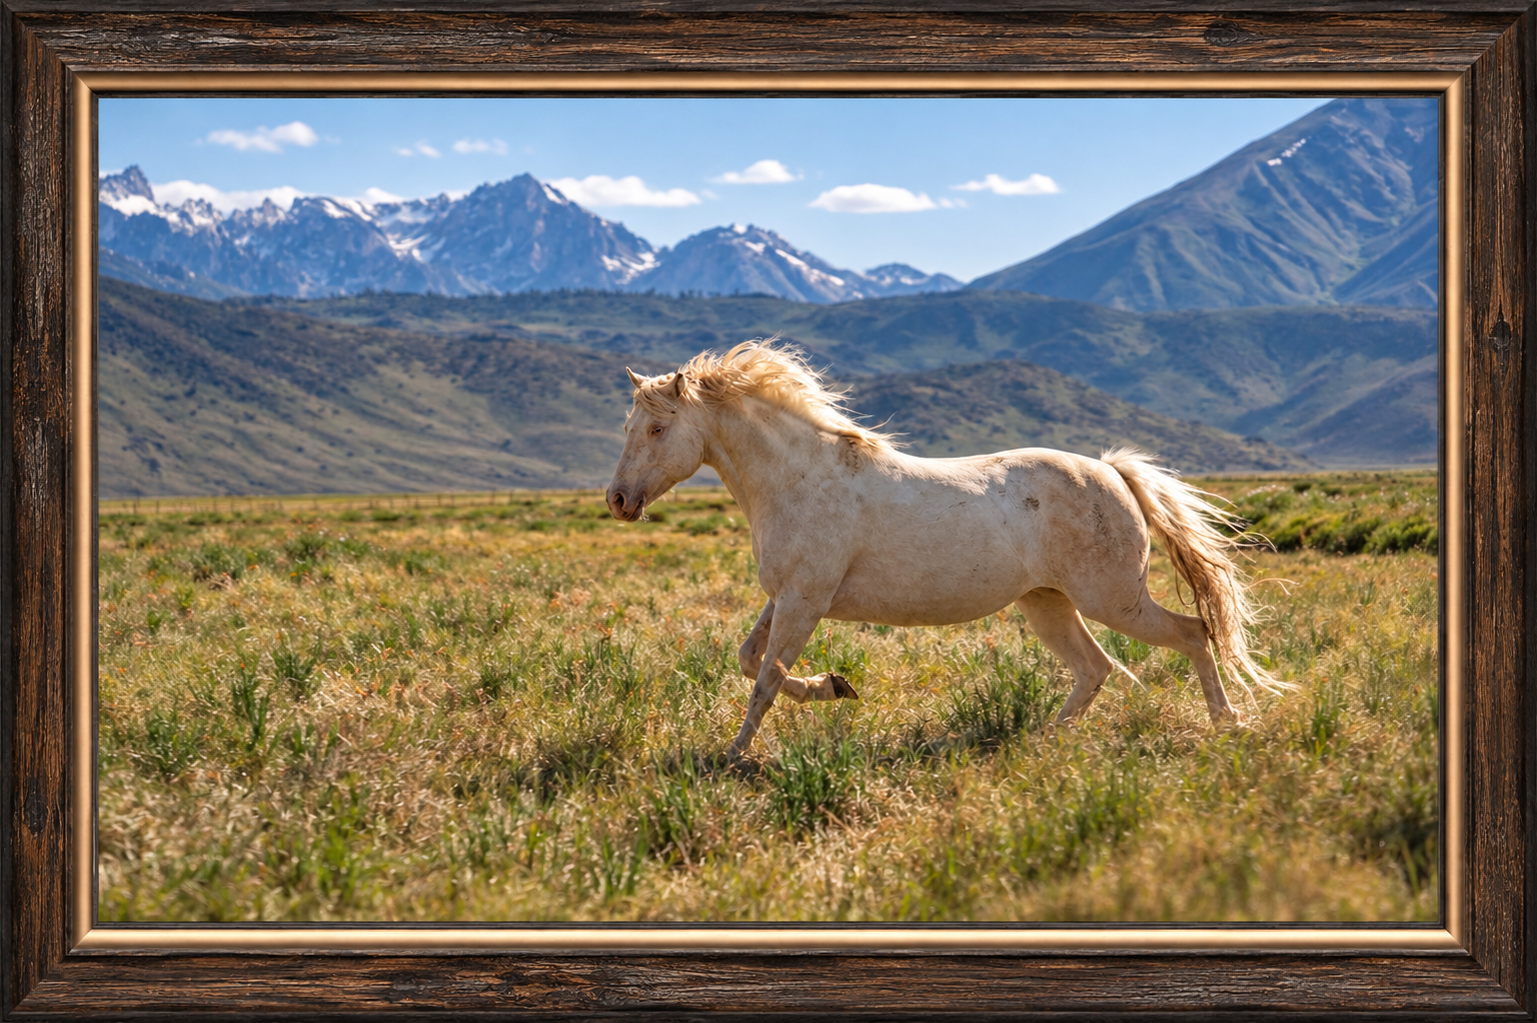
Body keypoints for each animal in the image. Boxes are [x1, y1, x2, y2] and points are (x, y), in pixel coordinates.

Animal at [605, 341, 1283, 755]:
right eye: (627, 427)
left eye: (658, 428)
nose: (617, 500)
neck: (798, 477)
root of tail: (1112, 472)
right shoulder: (786, 597)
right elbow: (750, 661)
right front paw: (836, 687)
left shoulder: (804, 600)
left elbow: (766, 680)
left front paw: (734, 756)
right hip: (1048, 602)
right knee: (1096, 668)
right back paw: (1040, 742)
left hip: (1111, 598)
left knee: (1192, 633)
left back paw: (1228, 723)